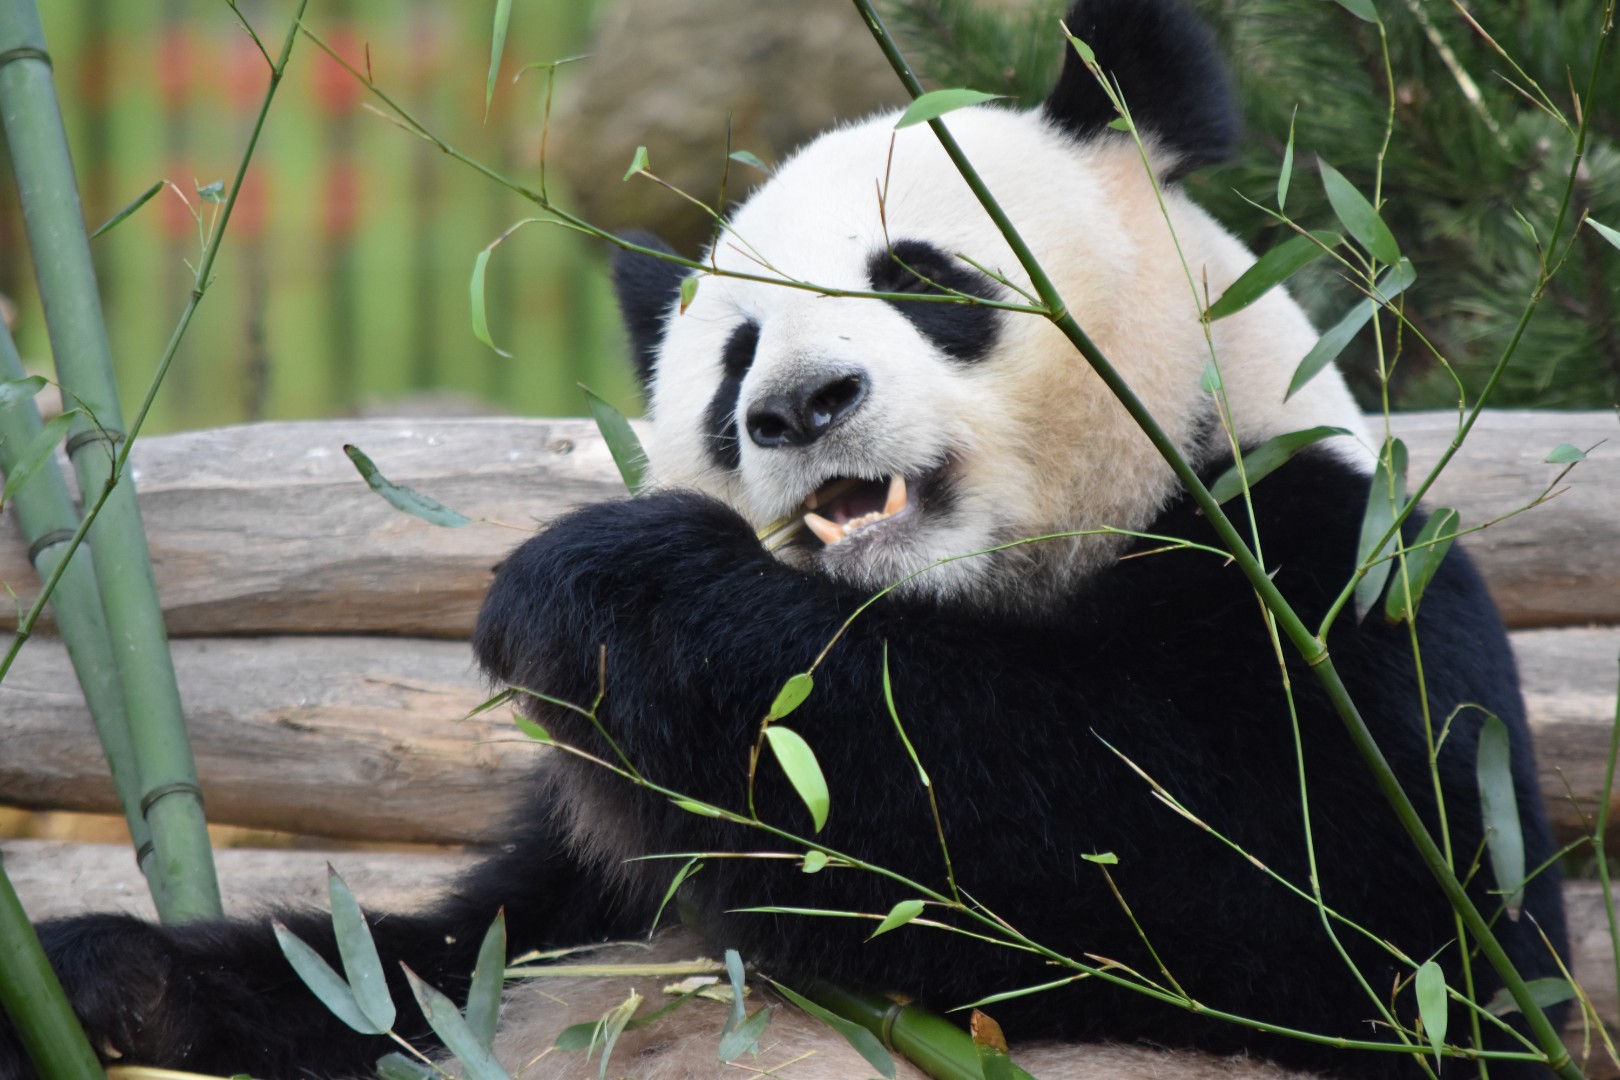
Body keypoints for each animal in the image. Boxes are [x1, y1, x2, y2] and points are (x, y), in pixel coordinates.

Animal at [0, 1, 1567, 1078]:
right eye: (733, 354)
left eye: (924, 275)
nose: (802, 406)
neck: (956, 598)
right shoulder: (603, 855)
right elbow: (423, 975)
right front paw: (102, 981)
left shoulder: (1326, 563)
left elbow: (1333, 906)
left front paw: (599, 591)